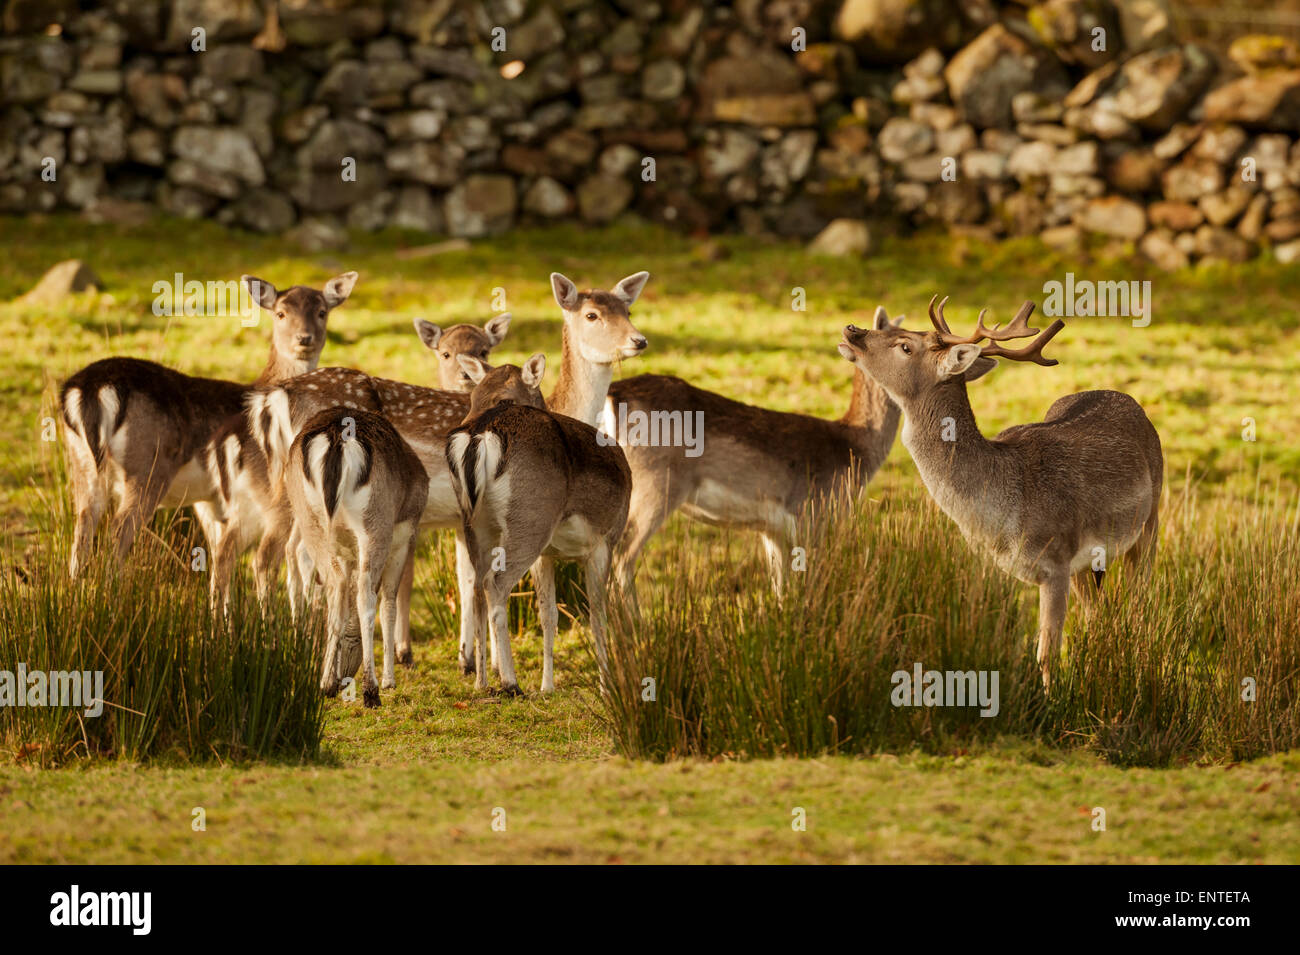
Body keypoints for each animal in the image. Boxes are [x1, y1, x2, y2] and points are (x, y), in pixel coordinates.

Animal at [59, 272, 358, 579]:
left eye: (322, 312)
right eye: (280, 313)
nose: (304, 338)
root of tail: (89, 389)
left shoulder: (209, 500)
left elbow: (217, 553)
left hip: (81, 461)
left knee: (83, 524)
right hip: (147, 465)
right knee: (119, 529)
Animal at [282, 407, 428, 706]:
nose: (344, 676)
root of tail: (336, 438)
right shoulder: (404, 535)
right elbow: (389, 604)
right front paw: (389, 680)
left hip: (309, 519)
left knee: (334, 590)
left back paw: (325, 684)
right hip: (375, 524)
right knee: (365, 596)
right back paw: (371, 691)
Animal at [447, 356, 629, 691]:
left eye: (502, 398)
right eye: (472, 397)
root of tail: (479, 434)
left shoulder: (547, 555)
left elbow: (549, 615)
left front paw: (548, 687)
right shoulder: (606, 540)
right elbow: (598, 614)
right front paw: (607, 686)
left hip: (474, 522)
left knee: (476, 586)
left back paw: (481, 681)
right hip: (530, 520)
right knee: (495, 584)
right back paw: (510, 682)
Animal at [608, 304, 904, 597]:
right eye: (903, 345)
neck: (852, 450)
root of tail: (613, 396)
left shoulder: (774, 531)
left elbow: (781, 590)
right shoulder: (813, 514)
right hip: (655, 485)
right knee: (623, 557)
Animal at [837, 297, 1164, 686]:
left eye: (905, 346)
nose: (852, 330)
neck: (1001, 514)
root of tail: (1131, 401)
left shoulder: (1056, 560)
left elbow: (1046, 655)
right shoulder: (996, 565)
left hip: (1150, 523)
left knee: (1140, 608)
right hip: (1089, 564)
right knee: (1098, 615)